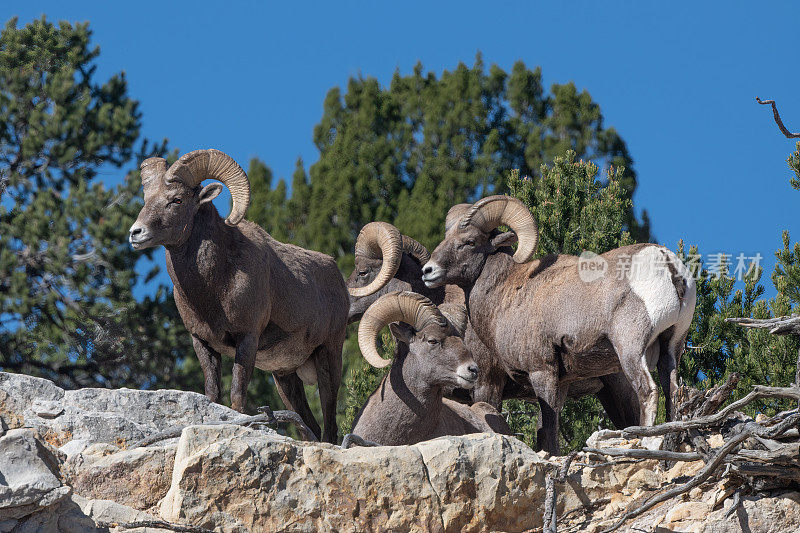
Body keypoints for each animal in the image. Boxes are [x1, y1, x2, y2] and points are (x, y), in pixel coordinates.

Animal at [128, 149, 346, 440]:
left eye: (177, 200)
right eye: (146, 199)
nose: (136, 233)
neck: (214, 290)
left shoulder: (247, 339)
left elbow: (237, 397)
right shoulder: (203, 343)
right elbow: (212, 394)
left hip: (329, 358)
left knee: (330, 425)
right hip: (285, 377)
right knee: (310, 424)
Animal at [424, 195, 692, 454]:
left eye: (469, 242)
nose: (428, 271)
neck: (507, 291)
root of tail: (666, 262)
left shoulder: (538, 372)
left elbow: (549, 428)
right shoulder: (561, 381)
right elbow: (546, 430)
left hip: (631, 350)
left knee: (648, 391)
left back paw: (645, 440)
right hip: (671, 348)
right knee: (672, 393)